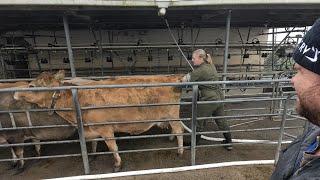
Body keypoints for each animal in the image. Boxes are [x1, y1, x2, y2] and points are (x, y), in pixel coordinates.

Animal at [14, 70, 185, 172]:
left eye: (32, 86)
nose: (15, 93)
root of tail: (173, 77)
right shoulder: (91, 128)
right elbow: (94, 142)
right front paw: (93, 154)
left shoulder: (105, 128)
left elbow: (112, 147)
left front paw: (117, 164)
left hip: (172, 114)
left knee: (179, 130)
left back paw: (180, 151)